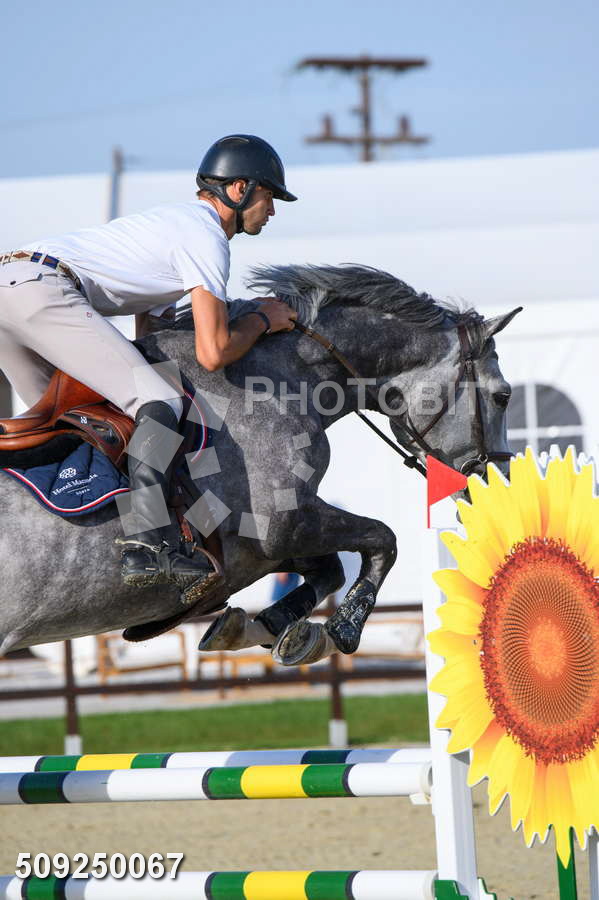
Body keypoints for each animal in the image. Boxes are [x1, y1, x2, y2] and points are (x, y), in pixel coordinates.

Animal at [0, 264, 520, 666]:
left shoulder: (258, 548)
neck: (274, 382)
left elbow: (330, 569)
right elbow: (383, 540)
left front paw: (270, 629)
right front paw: (342, 631)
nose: (493, 484)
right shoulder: (282, 527)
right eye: (503, 396)